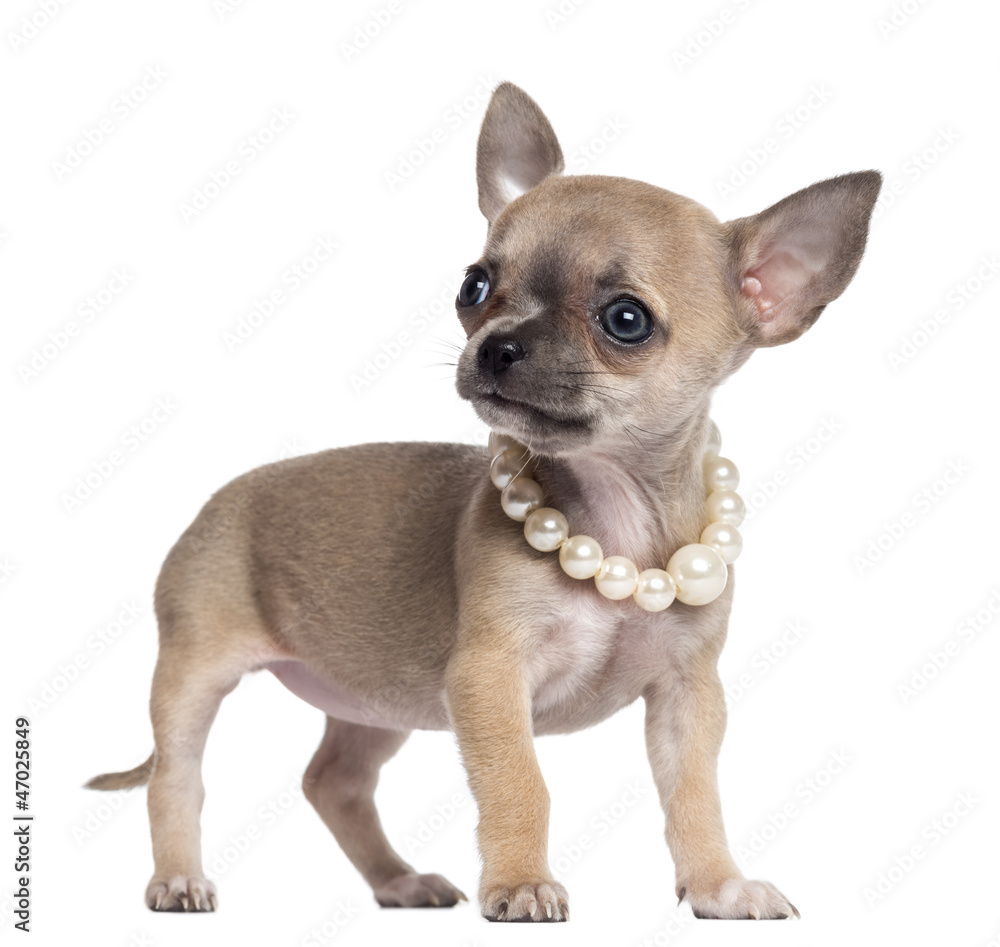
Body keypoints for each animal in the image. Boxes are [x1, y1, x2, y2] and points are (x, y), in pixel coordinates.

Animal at [90, 83, 880, 924]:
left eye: (625, 319)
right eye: (473, 286)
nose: (496, 344)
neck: (615, 519)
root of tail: (218, 499)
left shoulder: (687, 696)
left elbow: (695, 795)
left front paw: (718, 883)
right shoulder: (489, 680)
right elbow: (520, 784)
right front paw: (521, 882)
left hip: (378, 700)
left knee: (334, 781)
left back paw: (398, 880)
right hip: (194, 678)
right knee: (177, 778)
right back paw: (179, 878)